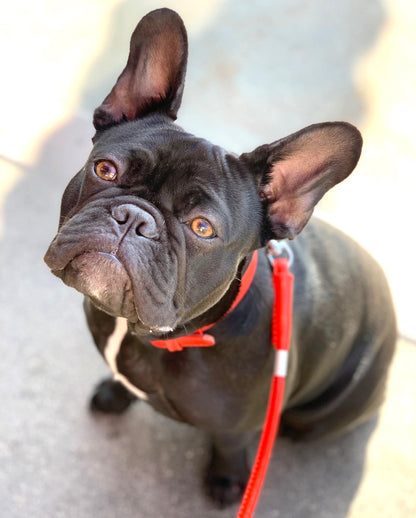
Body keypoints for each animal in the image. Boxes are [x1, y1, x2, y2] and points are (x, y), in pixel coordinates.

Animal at [44, 8, 396, 510]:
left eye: (202, 228)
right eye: (104, 170)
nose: (134, 218)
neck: (150, 336)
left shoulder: (236, 428)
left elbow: (229, 445)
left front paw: (227, 482)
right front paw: (113, 393)